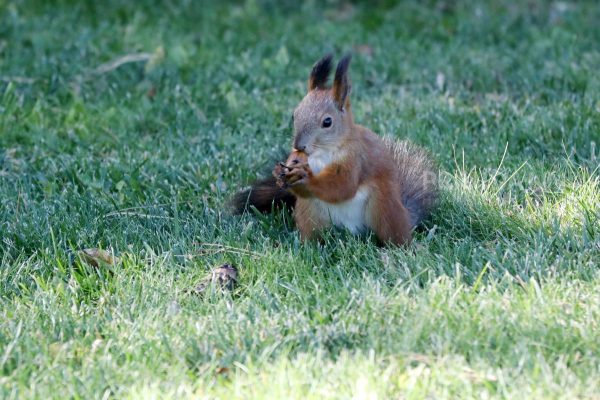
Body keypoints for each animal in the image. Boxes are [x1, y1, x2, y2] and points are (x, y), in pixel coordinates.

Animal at [232, 54, 438, 245]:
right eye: (294, 115)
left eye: (327, 122)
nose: (299, 145)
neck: (322, 153)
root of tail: (353, 231)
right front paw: (278, 171)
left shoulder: (355, 159)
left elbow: (342, 186)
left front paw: (307, 178)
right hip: (310, 213)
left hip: (384, 207)